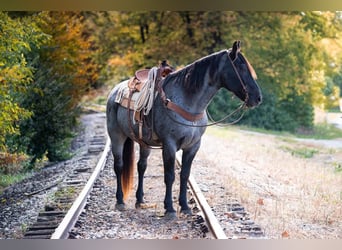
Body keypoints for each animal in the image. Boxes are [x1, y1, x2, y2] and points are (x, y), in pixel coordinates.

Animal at [107, 40, 262, 218]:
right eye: (241, 67)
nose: (258, 98)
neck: (187, 101)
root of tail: (115, 90)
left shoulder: (193, 146)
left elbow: (184, 175)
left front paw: (185, 206)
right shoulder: (169, 145)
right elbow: (170, 176)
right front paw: (170, 208)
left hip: (144, 142)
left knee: (141, 166)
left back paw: (140, 200)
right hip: (116, 136)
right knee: (119, 166)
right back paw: (120, 201)